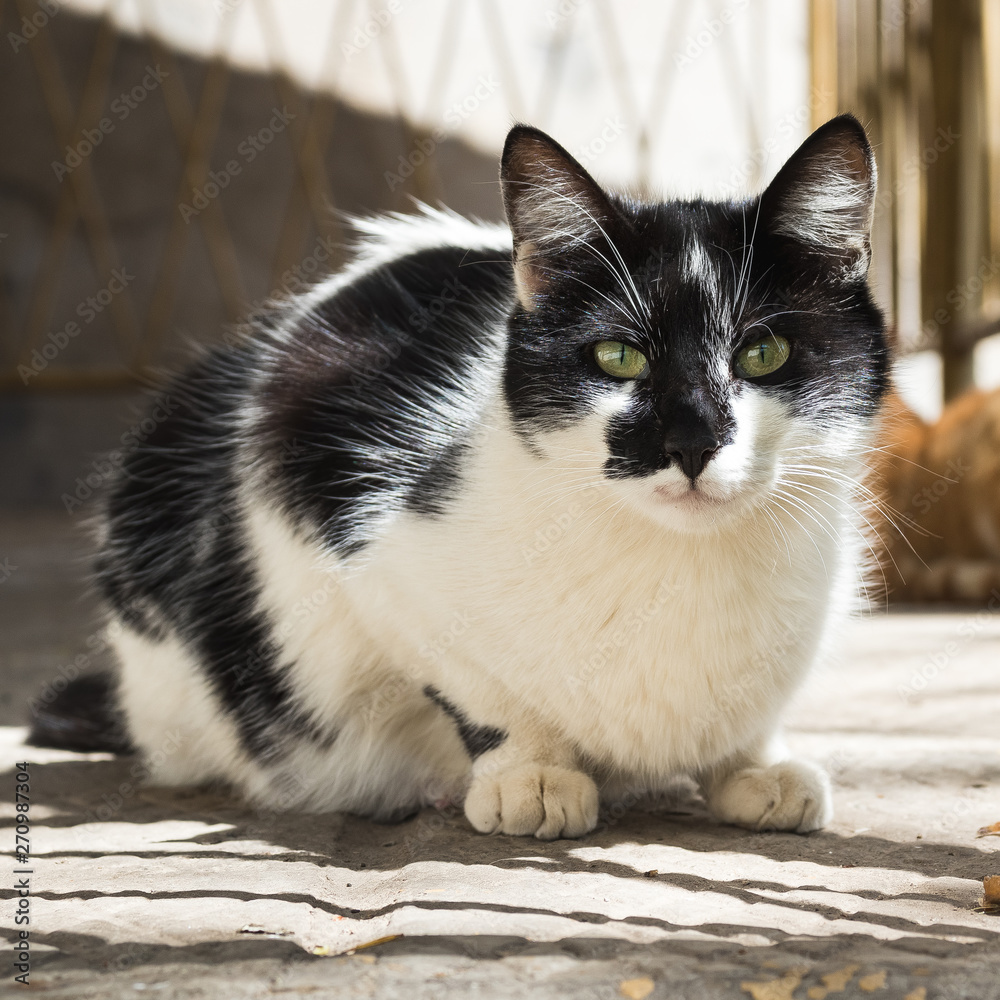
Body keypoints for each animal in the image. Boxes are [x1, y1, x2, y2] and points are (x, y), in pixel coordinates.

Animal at [33, 113, 892, 840]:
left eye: (764, 353)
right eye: (618, 357)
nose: (691, 440)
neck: (683, 567)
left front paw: (753, 765)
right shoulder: (339, 508)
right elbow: (467, 678)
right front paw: (530, 772)